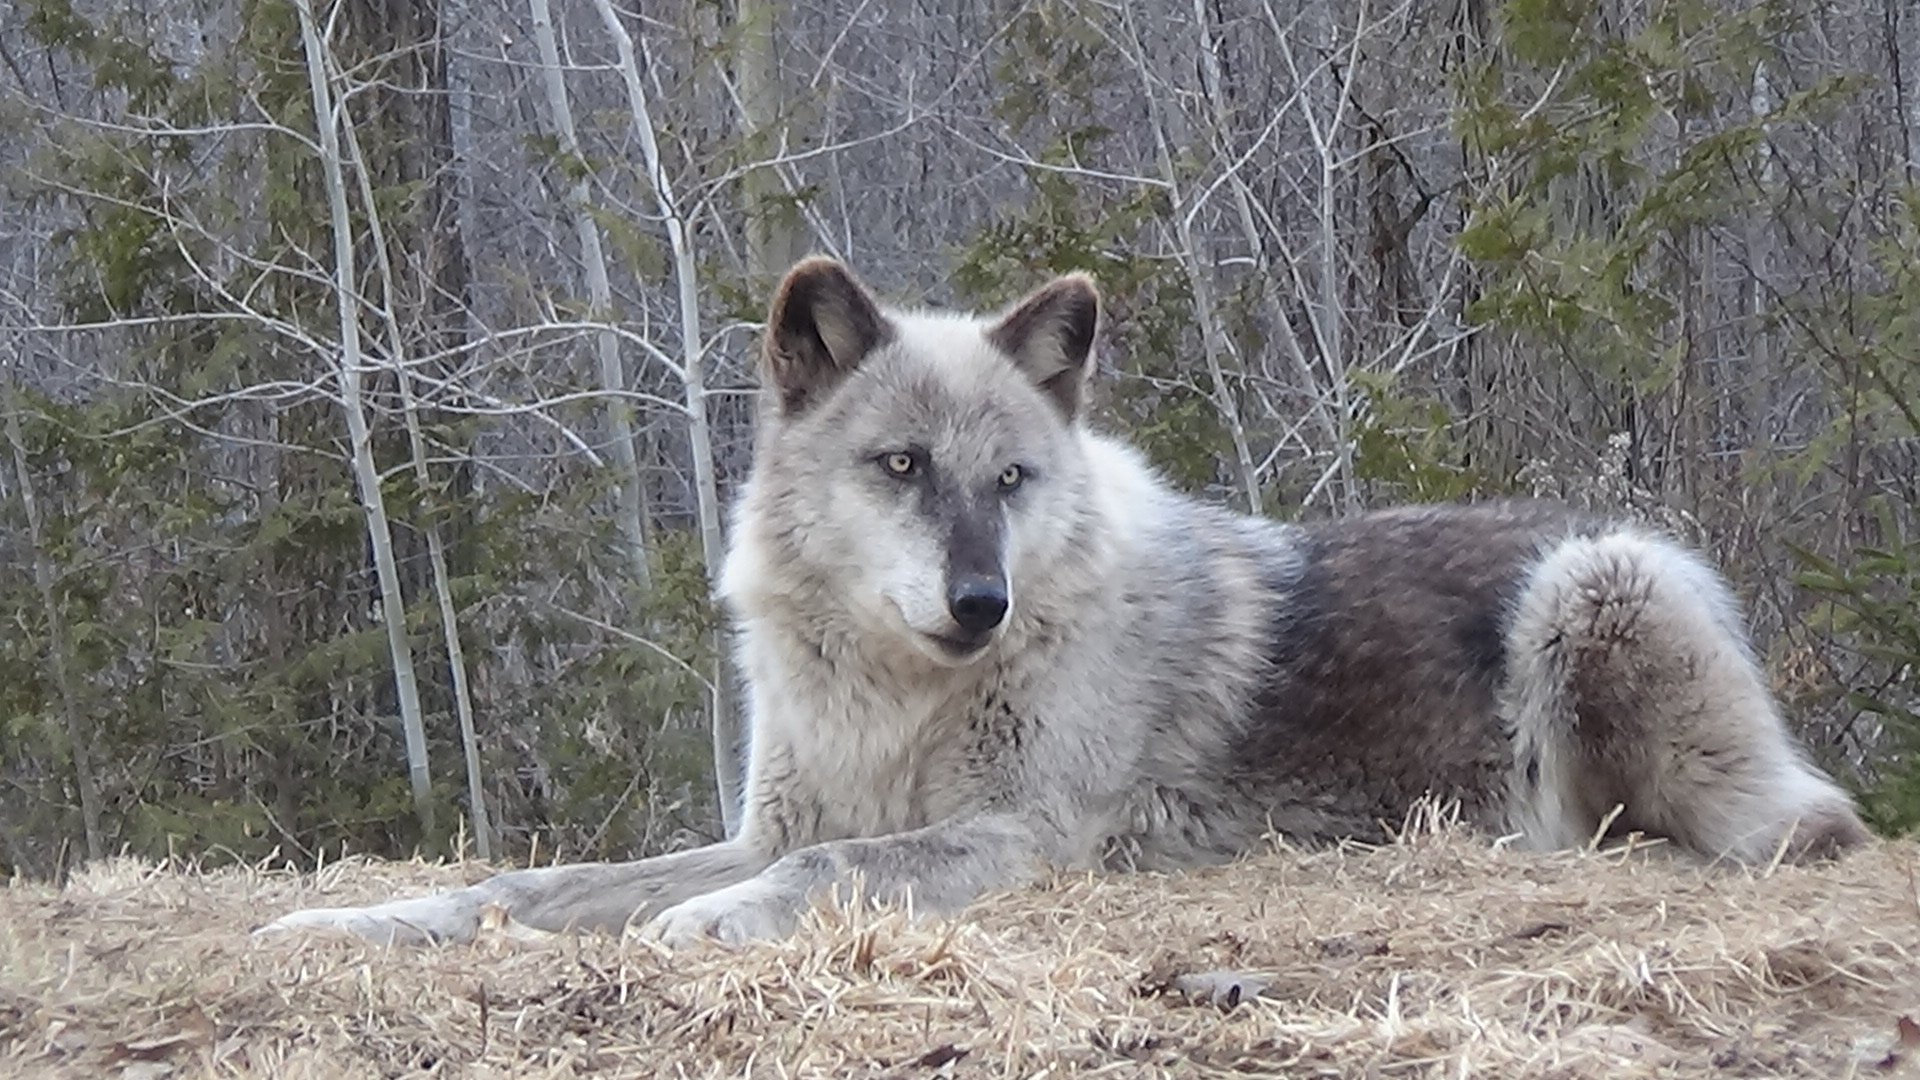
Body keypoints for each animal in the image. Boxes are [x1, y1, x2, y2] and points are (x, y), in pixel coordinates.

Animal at [259, 257, 1869, 949]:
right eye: (904, 468)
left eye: (1014, 478)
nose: (980, 601)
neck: (896, 698)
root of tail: (1627, 529)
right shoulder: (764, 818)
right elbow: (536, 885)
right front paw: (363, 920)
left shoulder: (1016, 836)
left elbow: (819, 873)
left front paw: (704, 927)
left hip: (1599, 595)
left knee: (1802, 829)